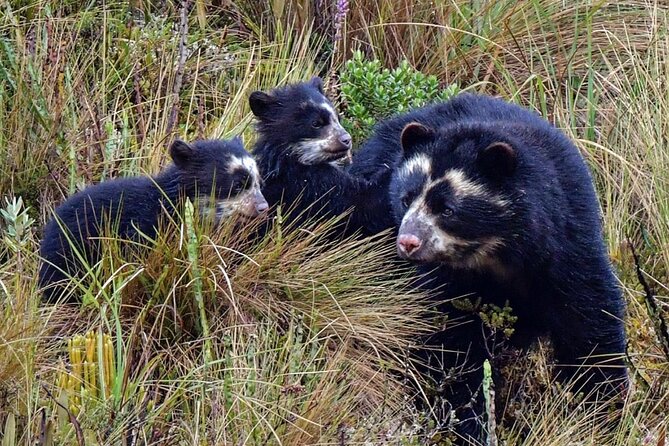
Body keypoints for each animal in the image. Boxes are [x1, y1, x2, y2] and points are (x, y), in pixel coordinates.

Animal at [352, 94, 628, 442]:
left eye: (447, 209)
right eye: (405, 199)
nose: (408, 242)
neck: (498, 253)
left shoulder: (568, 243)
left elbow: (589, 324)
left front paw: (602, 415)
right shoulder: (441, 281)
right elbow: (446, 346)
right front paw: (467, 423)